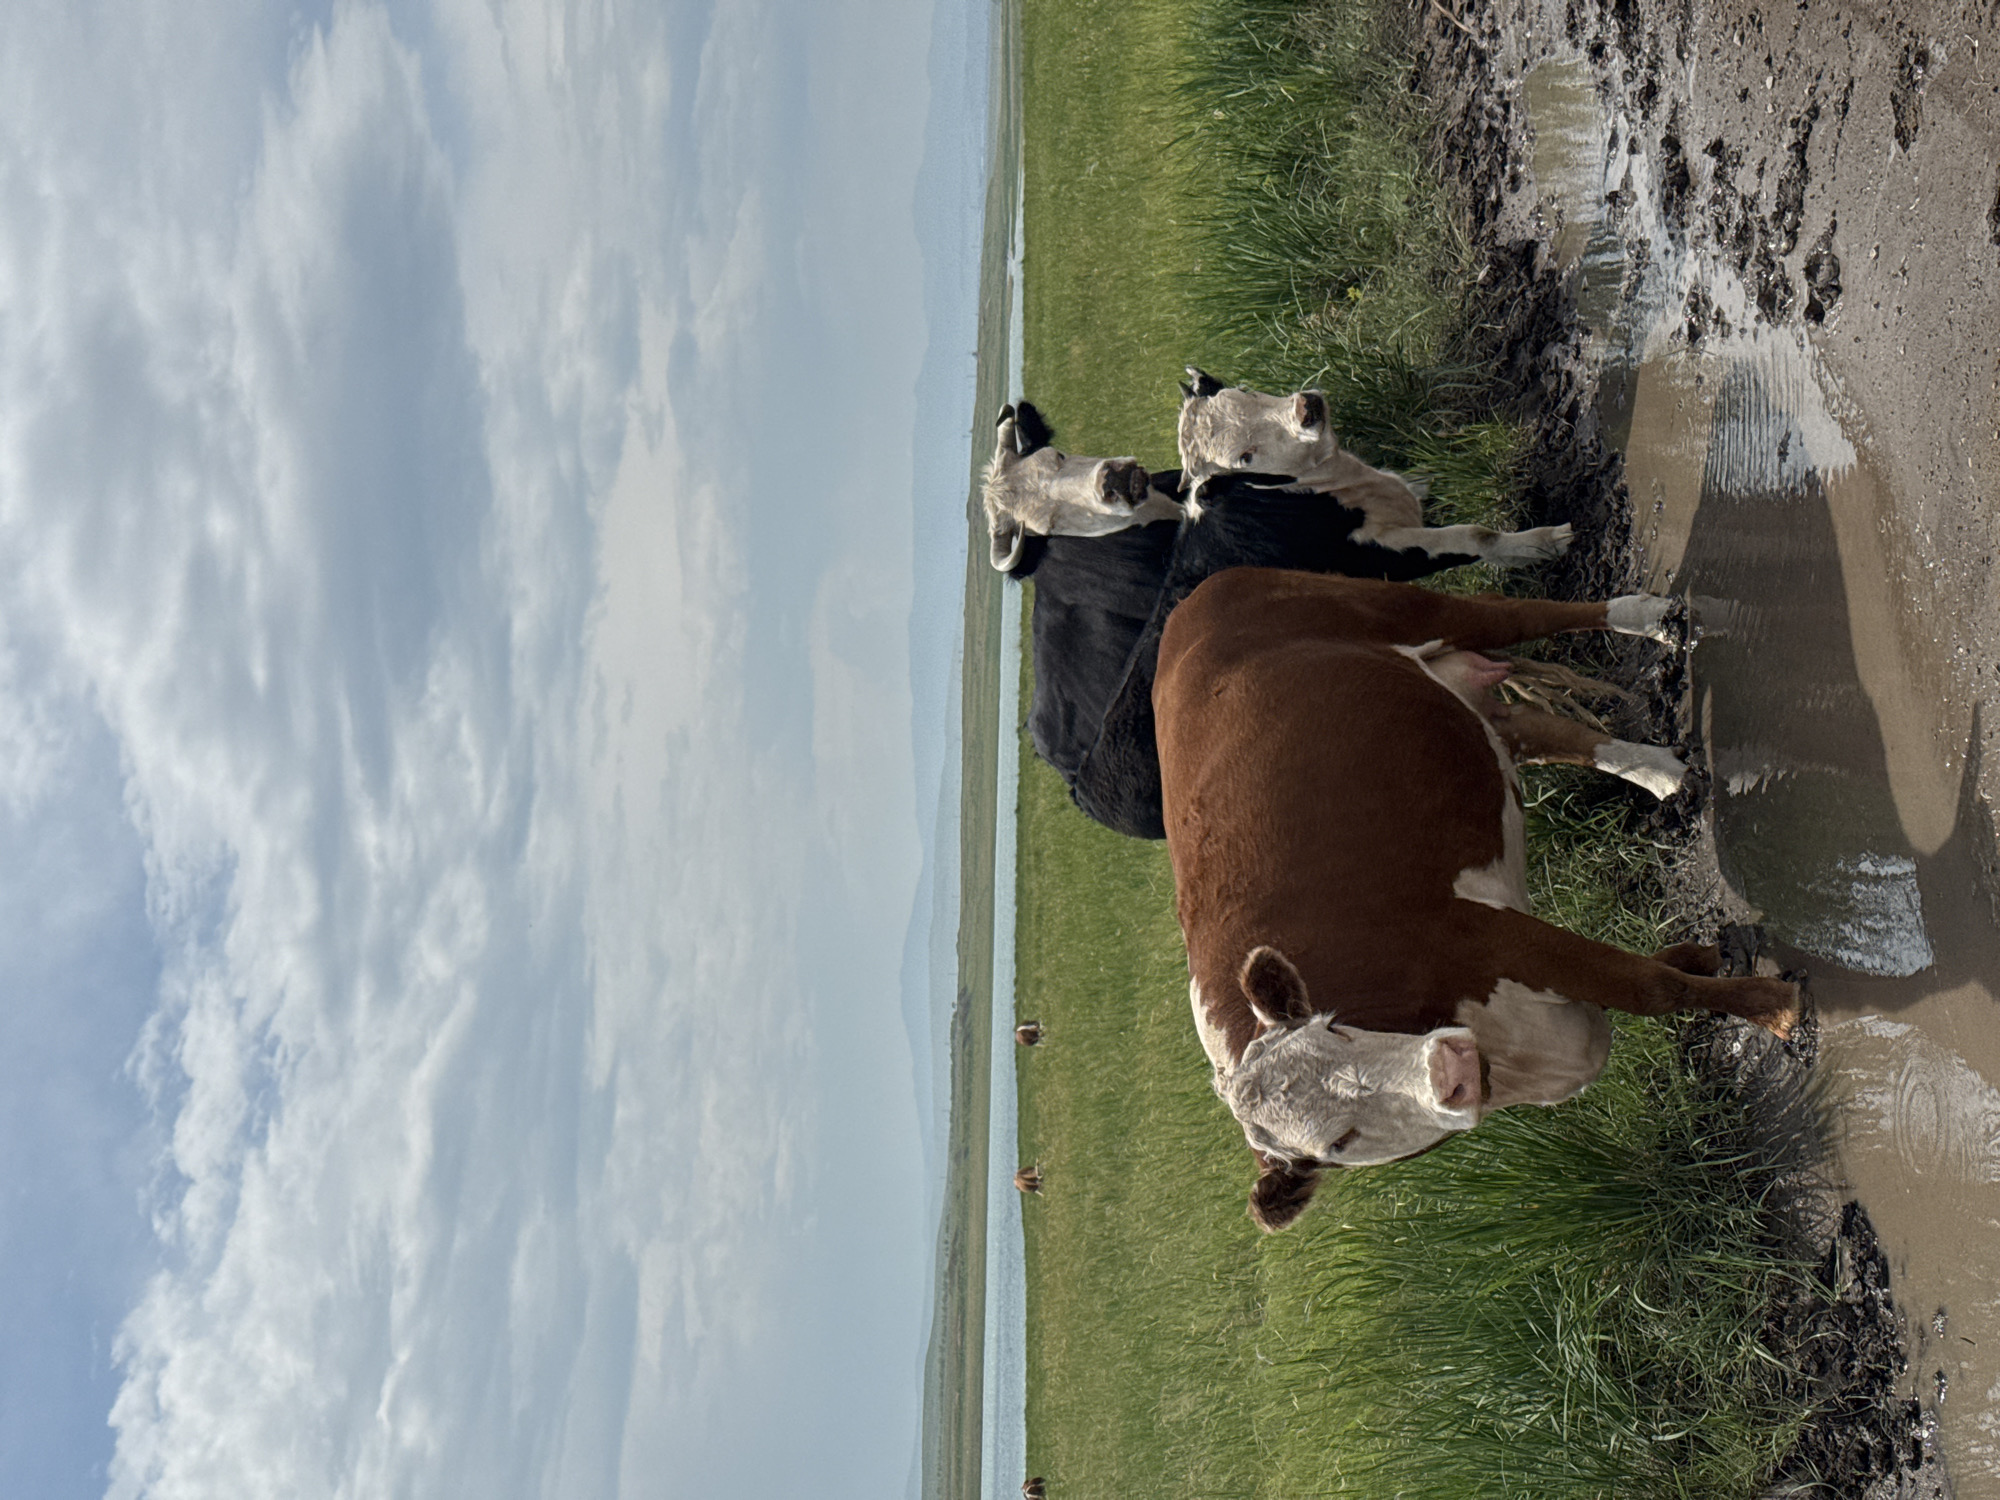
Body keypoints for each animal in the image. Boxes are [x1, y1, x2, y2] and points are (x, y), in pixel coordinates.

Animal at [1151, 568, 1801, 1231]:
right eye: (1338, 1143)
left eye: (1337, 1032)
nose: (1449, 1071)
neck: (1512, 1060)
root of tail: (1186, 610)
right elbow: (1658, 974)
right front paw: (1704, 958)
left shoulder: (1487, 935)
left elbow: (1652, 988)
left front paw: (1774, 1008)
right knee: (1540, 733)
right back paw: (1664, 773)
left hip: (1408, 607)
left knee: (1522, 614)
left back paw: (1650, 618)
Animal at [1175, 367, 1562, 568]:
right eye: (1245, 457)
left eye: (1246, 391)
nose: (1306, 408)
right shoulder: (1388, 552)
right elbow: (1477, 536)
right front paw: (1548, 542)